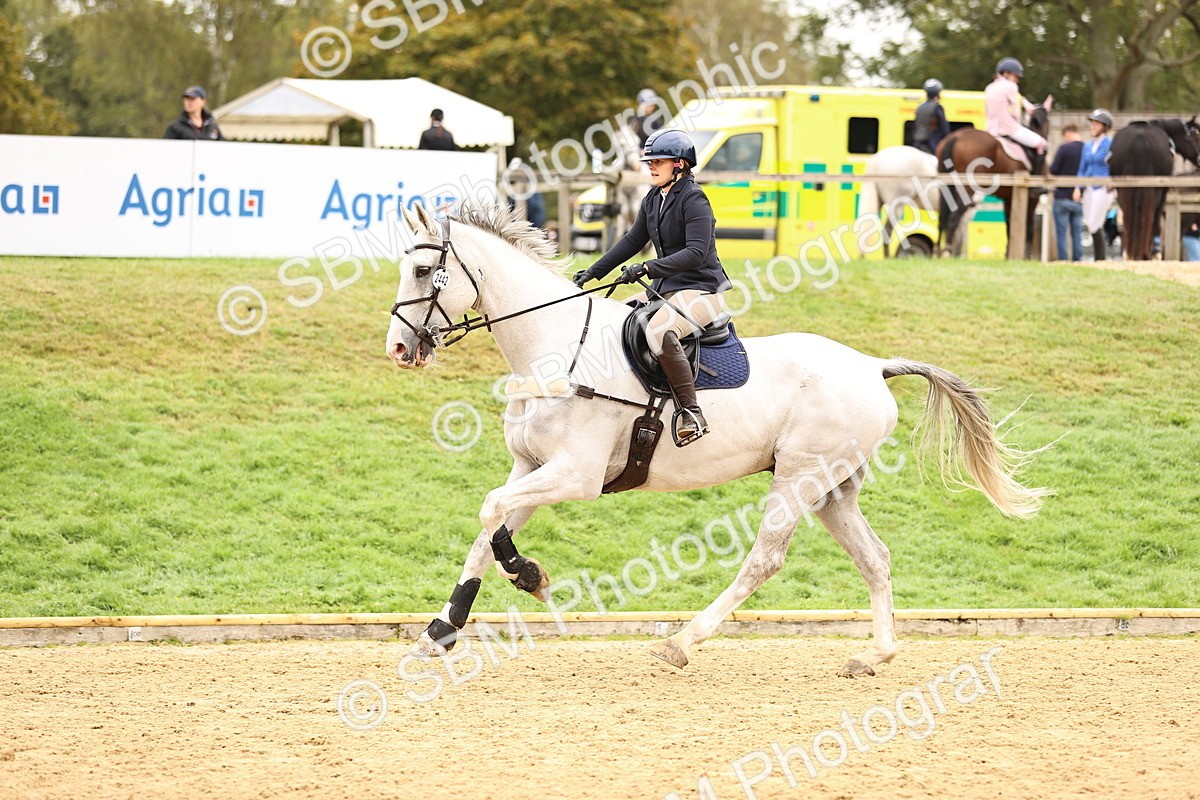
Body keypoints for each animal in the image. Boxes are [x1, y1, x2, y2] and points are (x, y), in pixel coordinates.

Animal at [385, 202, 1050, 678]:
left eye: (421, 270)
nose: (398, 349)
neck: (554, 347)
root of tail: (870, 366)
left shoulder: (576, 475)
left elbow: (490, 513)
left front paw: (529, 576)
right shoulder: (529, 467)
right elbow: (486, 529)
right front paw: (442, 630)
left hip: (798, 479)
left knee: (765, 559)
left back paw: (683, 641)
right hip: (833, 489)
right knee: (875, 557)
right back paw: (874, 656)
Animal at [935, 102, 1052, 259]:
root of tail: (956, 137)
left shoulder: (1009, 199)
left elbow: (1009, 225)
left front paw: (1008, 255)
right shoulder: (1032, 199)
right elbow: (1029, 227)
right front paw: (1027, 257)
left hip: (946, 185)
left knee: (943, 217)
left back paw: (937, 251)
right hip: (967, 188)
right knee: (954, 217)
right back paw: (948, 251)